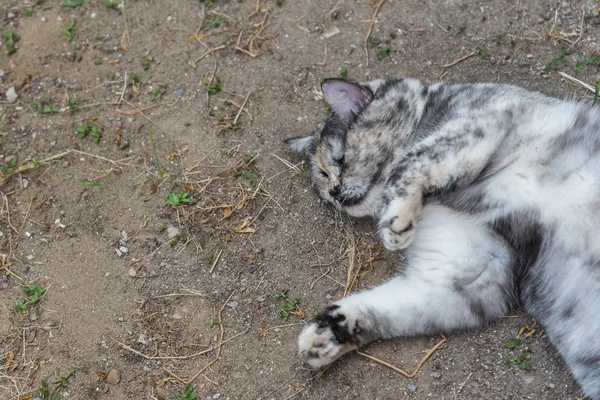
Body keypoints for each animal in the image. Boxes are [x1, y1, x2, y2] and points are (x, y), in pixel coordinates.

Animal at [286, 76, 600, 398]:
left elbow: (410, 161)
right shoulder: (466, 269)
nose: (334, 193)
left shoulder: (482, 125)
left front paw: (395, 224)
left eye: (340, 158)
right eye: (322, 176)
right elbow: (390, 306)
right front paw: (325, 335)